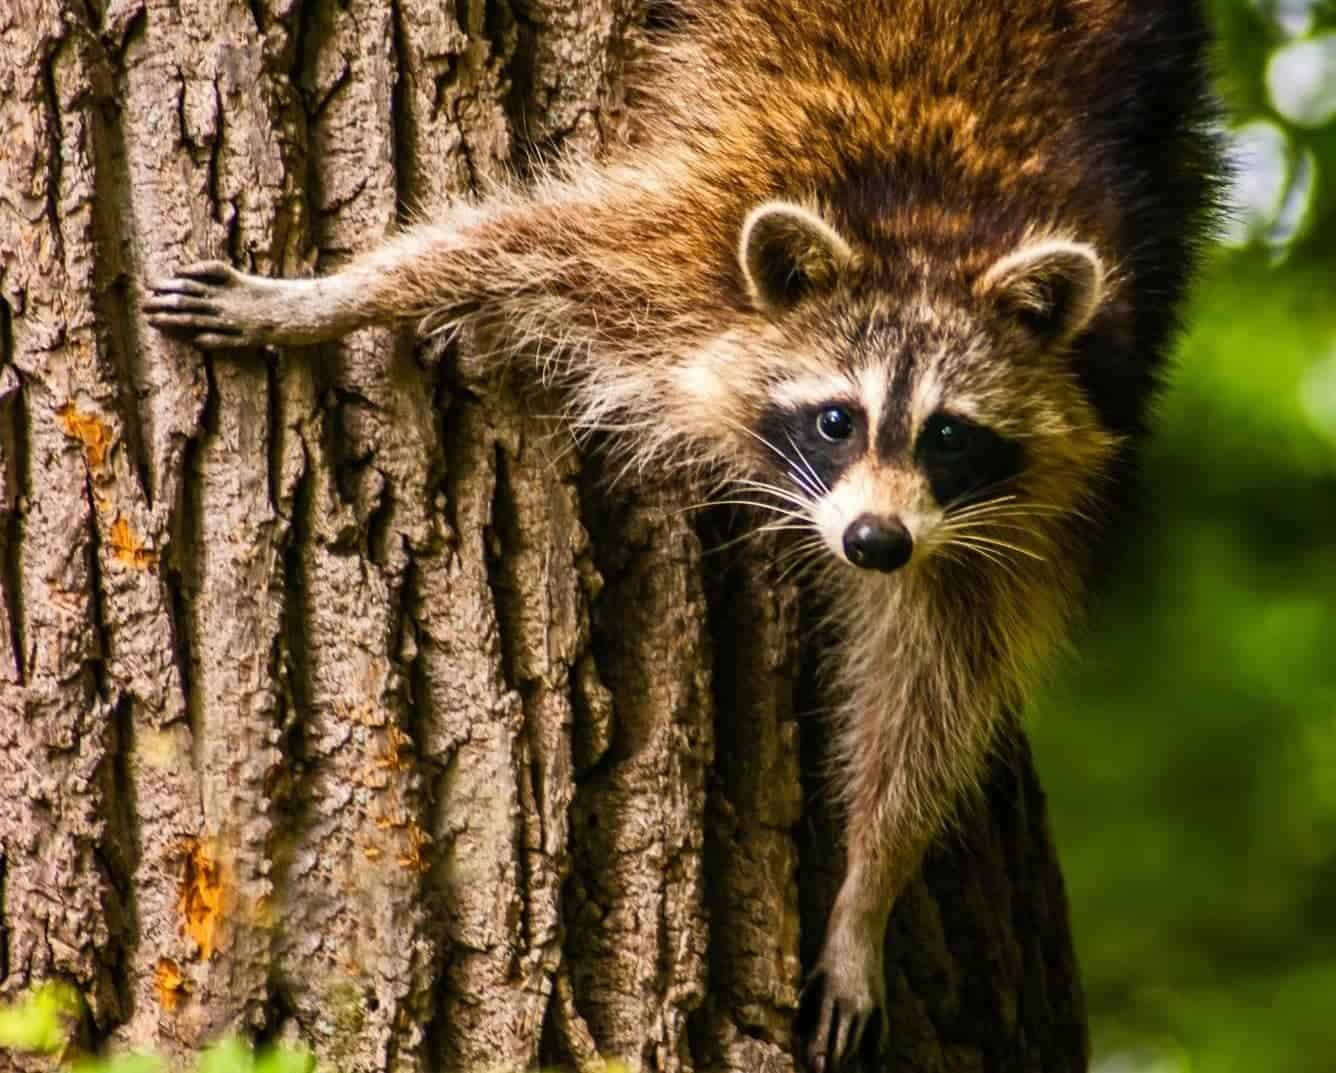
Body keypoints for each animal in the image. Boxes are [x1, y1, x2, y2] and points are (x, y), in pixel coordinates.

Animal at [145, 1, 1221, 1067]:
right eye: (837, 419)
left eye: (949, 434)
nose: (874, 543)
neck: (933, 248)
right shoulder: (686, 246)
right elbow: (511, 241)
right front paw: (323, 299)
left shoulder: (1042, 482)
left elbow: (935, 678)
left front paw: (867, 889)